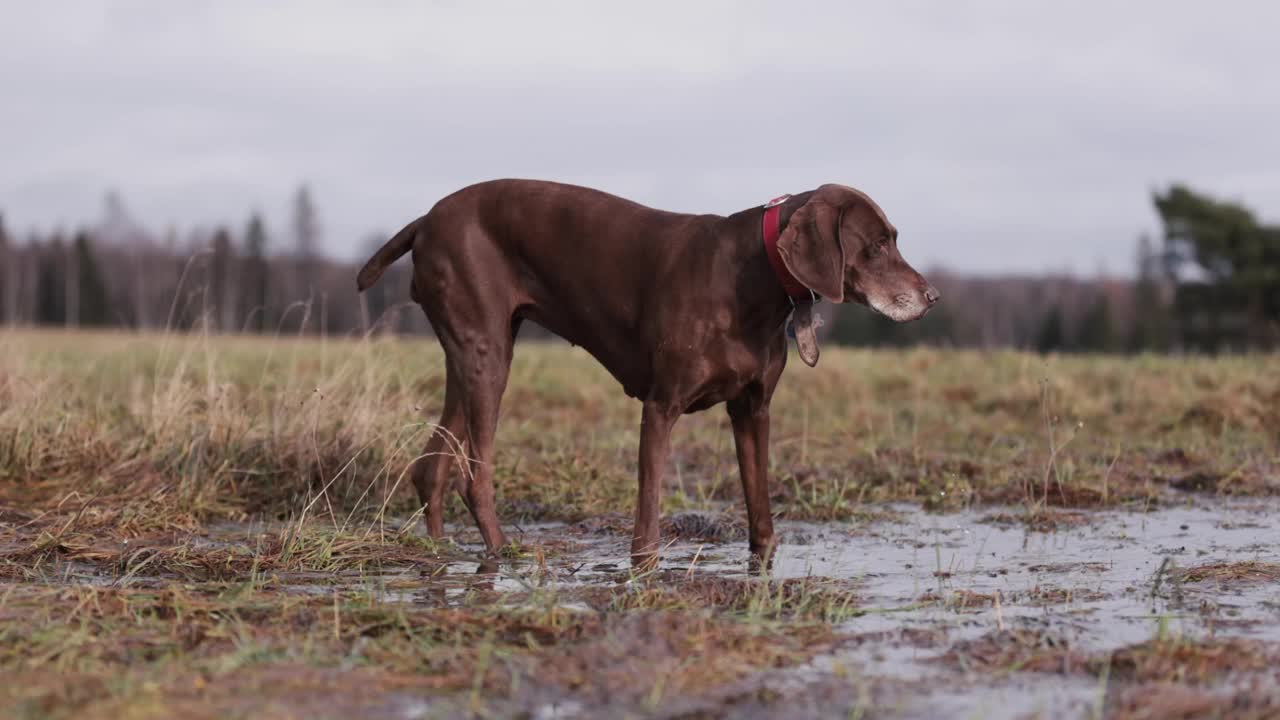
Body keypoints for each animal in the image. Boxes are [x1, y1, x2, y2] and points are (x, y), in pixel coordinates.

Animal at [355, 179, 936, 566]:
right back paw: (503, 553)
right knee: (473, 476)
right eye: (878, 244)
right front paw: (645, 568)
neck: (753, 278)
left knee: (432, 468)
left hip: (472, 353)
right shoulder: (661, 407)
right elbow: (648, 517)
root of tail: (425, 220)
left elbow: (761, 512)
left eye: (893, 238)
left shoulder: (753, 409)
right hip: (488, 357)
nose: (932, 297)